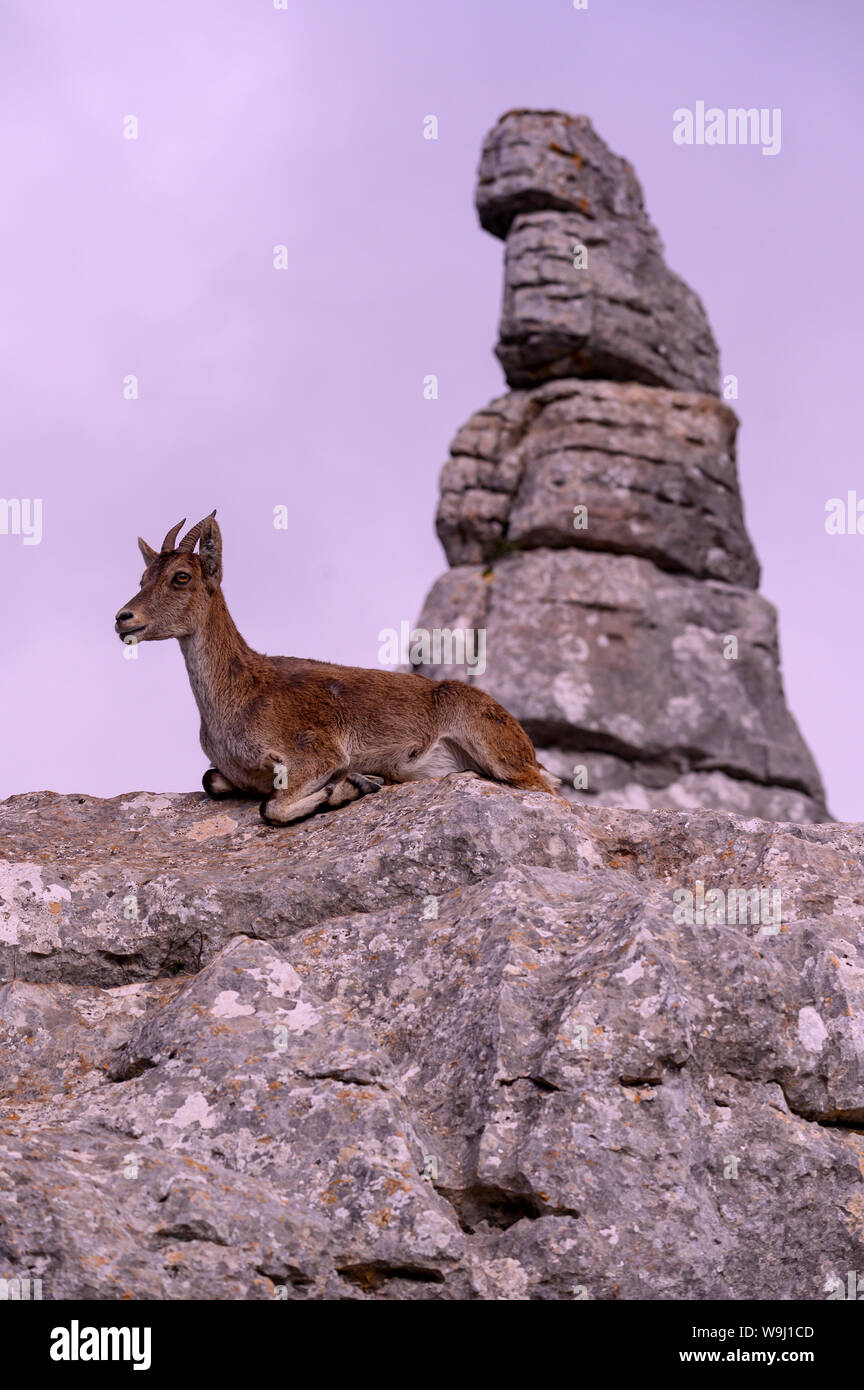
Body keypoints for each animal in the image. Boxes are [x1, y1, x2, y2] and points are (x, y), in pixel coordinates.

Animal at [115, 513, 561, 825]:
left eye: (181, 577)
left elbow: (271, 808)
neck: (241, 694)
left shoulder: (314, 753)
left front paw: (354, 785)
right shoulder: (235, 773)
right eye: (143, 576)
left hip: (499, 751)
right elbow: (212, 781)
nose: (123, 618)